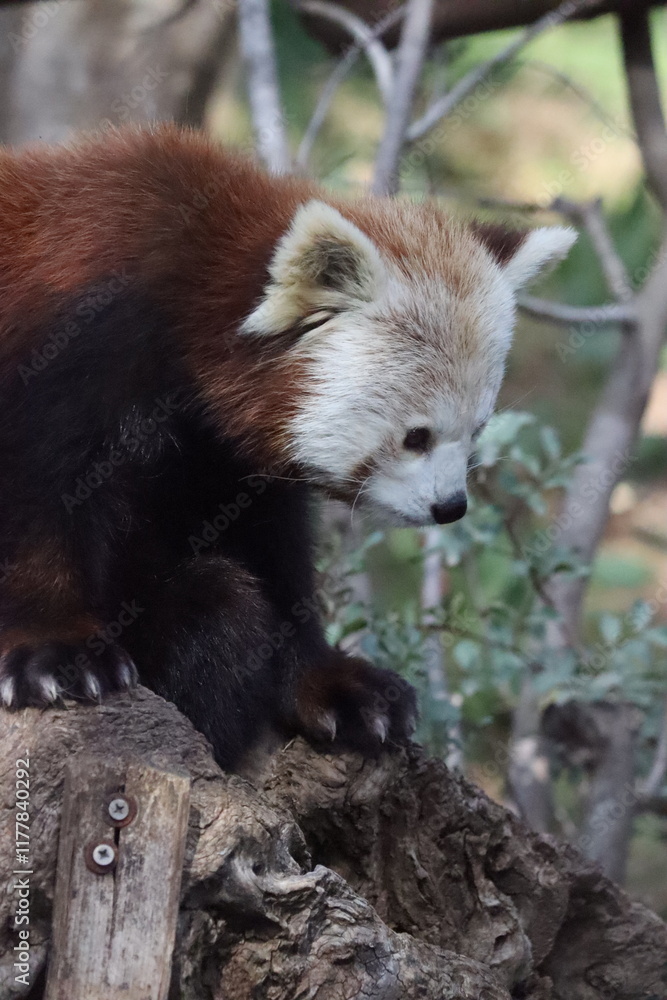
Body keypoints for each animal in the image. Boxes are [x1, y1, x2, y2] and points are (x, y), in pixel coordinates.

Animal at [0, 125, 575, 768]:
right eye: (416, 436)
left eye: (475, 433)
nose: (451, 507)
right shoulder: (69, 341)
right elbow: (40, 500)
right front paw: (55, 649)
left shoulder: (219, 451)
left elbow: (270, 549)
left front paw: (330, 683)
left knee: (218, 606)